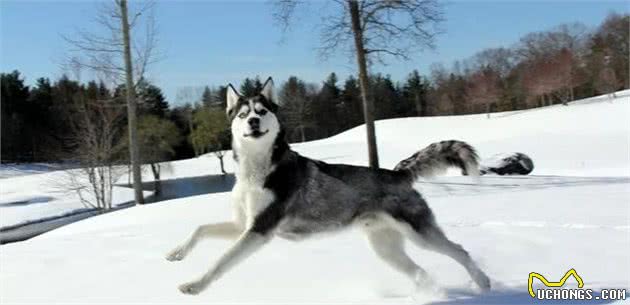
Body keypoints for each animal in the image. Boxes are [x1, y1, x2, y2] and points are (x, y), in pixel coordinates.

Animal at [165, 77, 492, 294]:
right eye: (243, 114)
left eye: (263, 111)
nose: (253, 122)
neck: (255, 171)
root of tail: (397, 173)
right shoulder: (243, 224)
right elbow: (200, 229)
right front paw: (176, 253)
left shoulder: (259, 230)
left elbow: (221, 261)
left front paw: (195, 285)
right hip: (386, 249)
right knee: (421, 272)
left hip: (420, 234)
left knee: (460, 251)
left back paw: (483, 282)